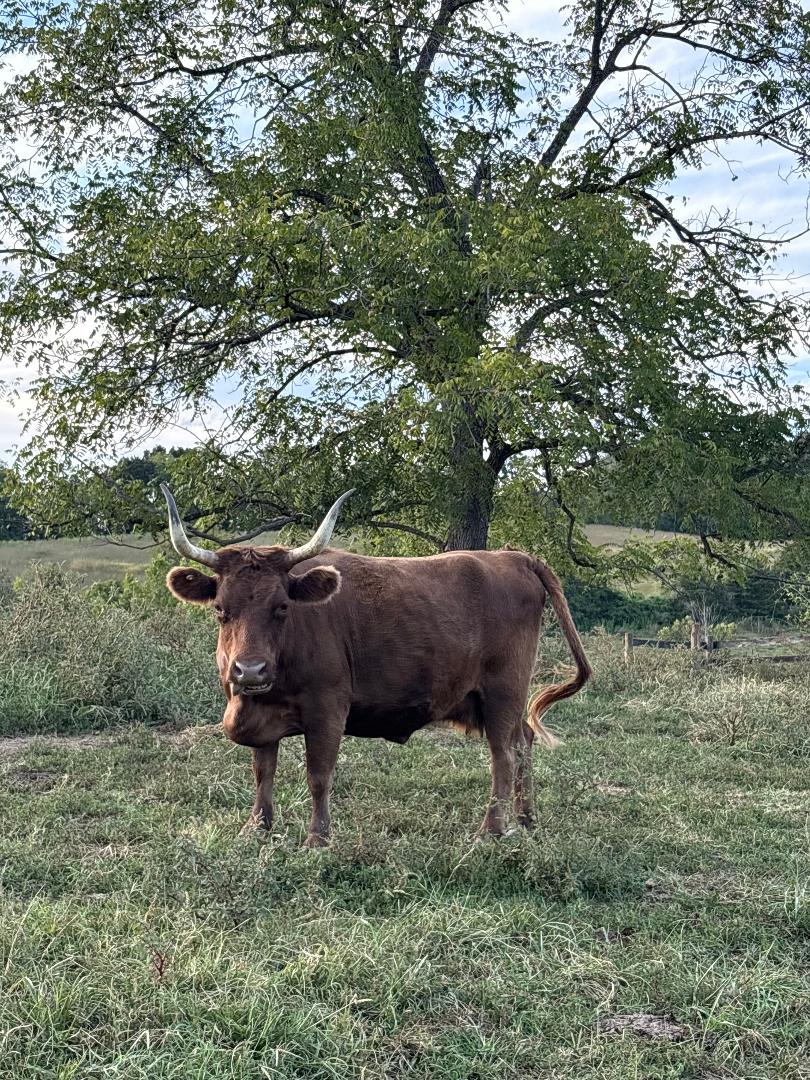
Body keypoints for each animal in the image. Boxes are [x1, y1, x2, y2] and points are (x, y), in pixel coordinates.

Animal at [161, 485, 591, 846]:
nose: (250, 670)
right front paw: (257, 827)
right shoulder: (261, 714)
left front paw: (317, 839)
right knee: (523, 741)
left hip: (504, 690)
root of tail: (513, 557)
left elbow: (318, 775)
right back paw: (527, 818)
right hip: (497, 699)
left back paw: (492, 830)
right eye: (221, 610)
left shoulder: (327, 709)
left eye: (282, 607)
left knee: (503, 754)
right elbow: (262, 770)